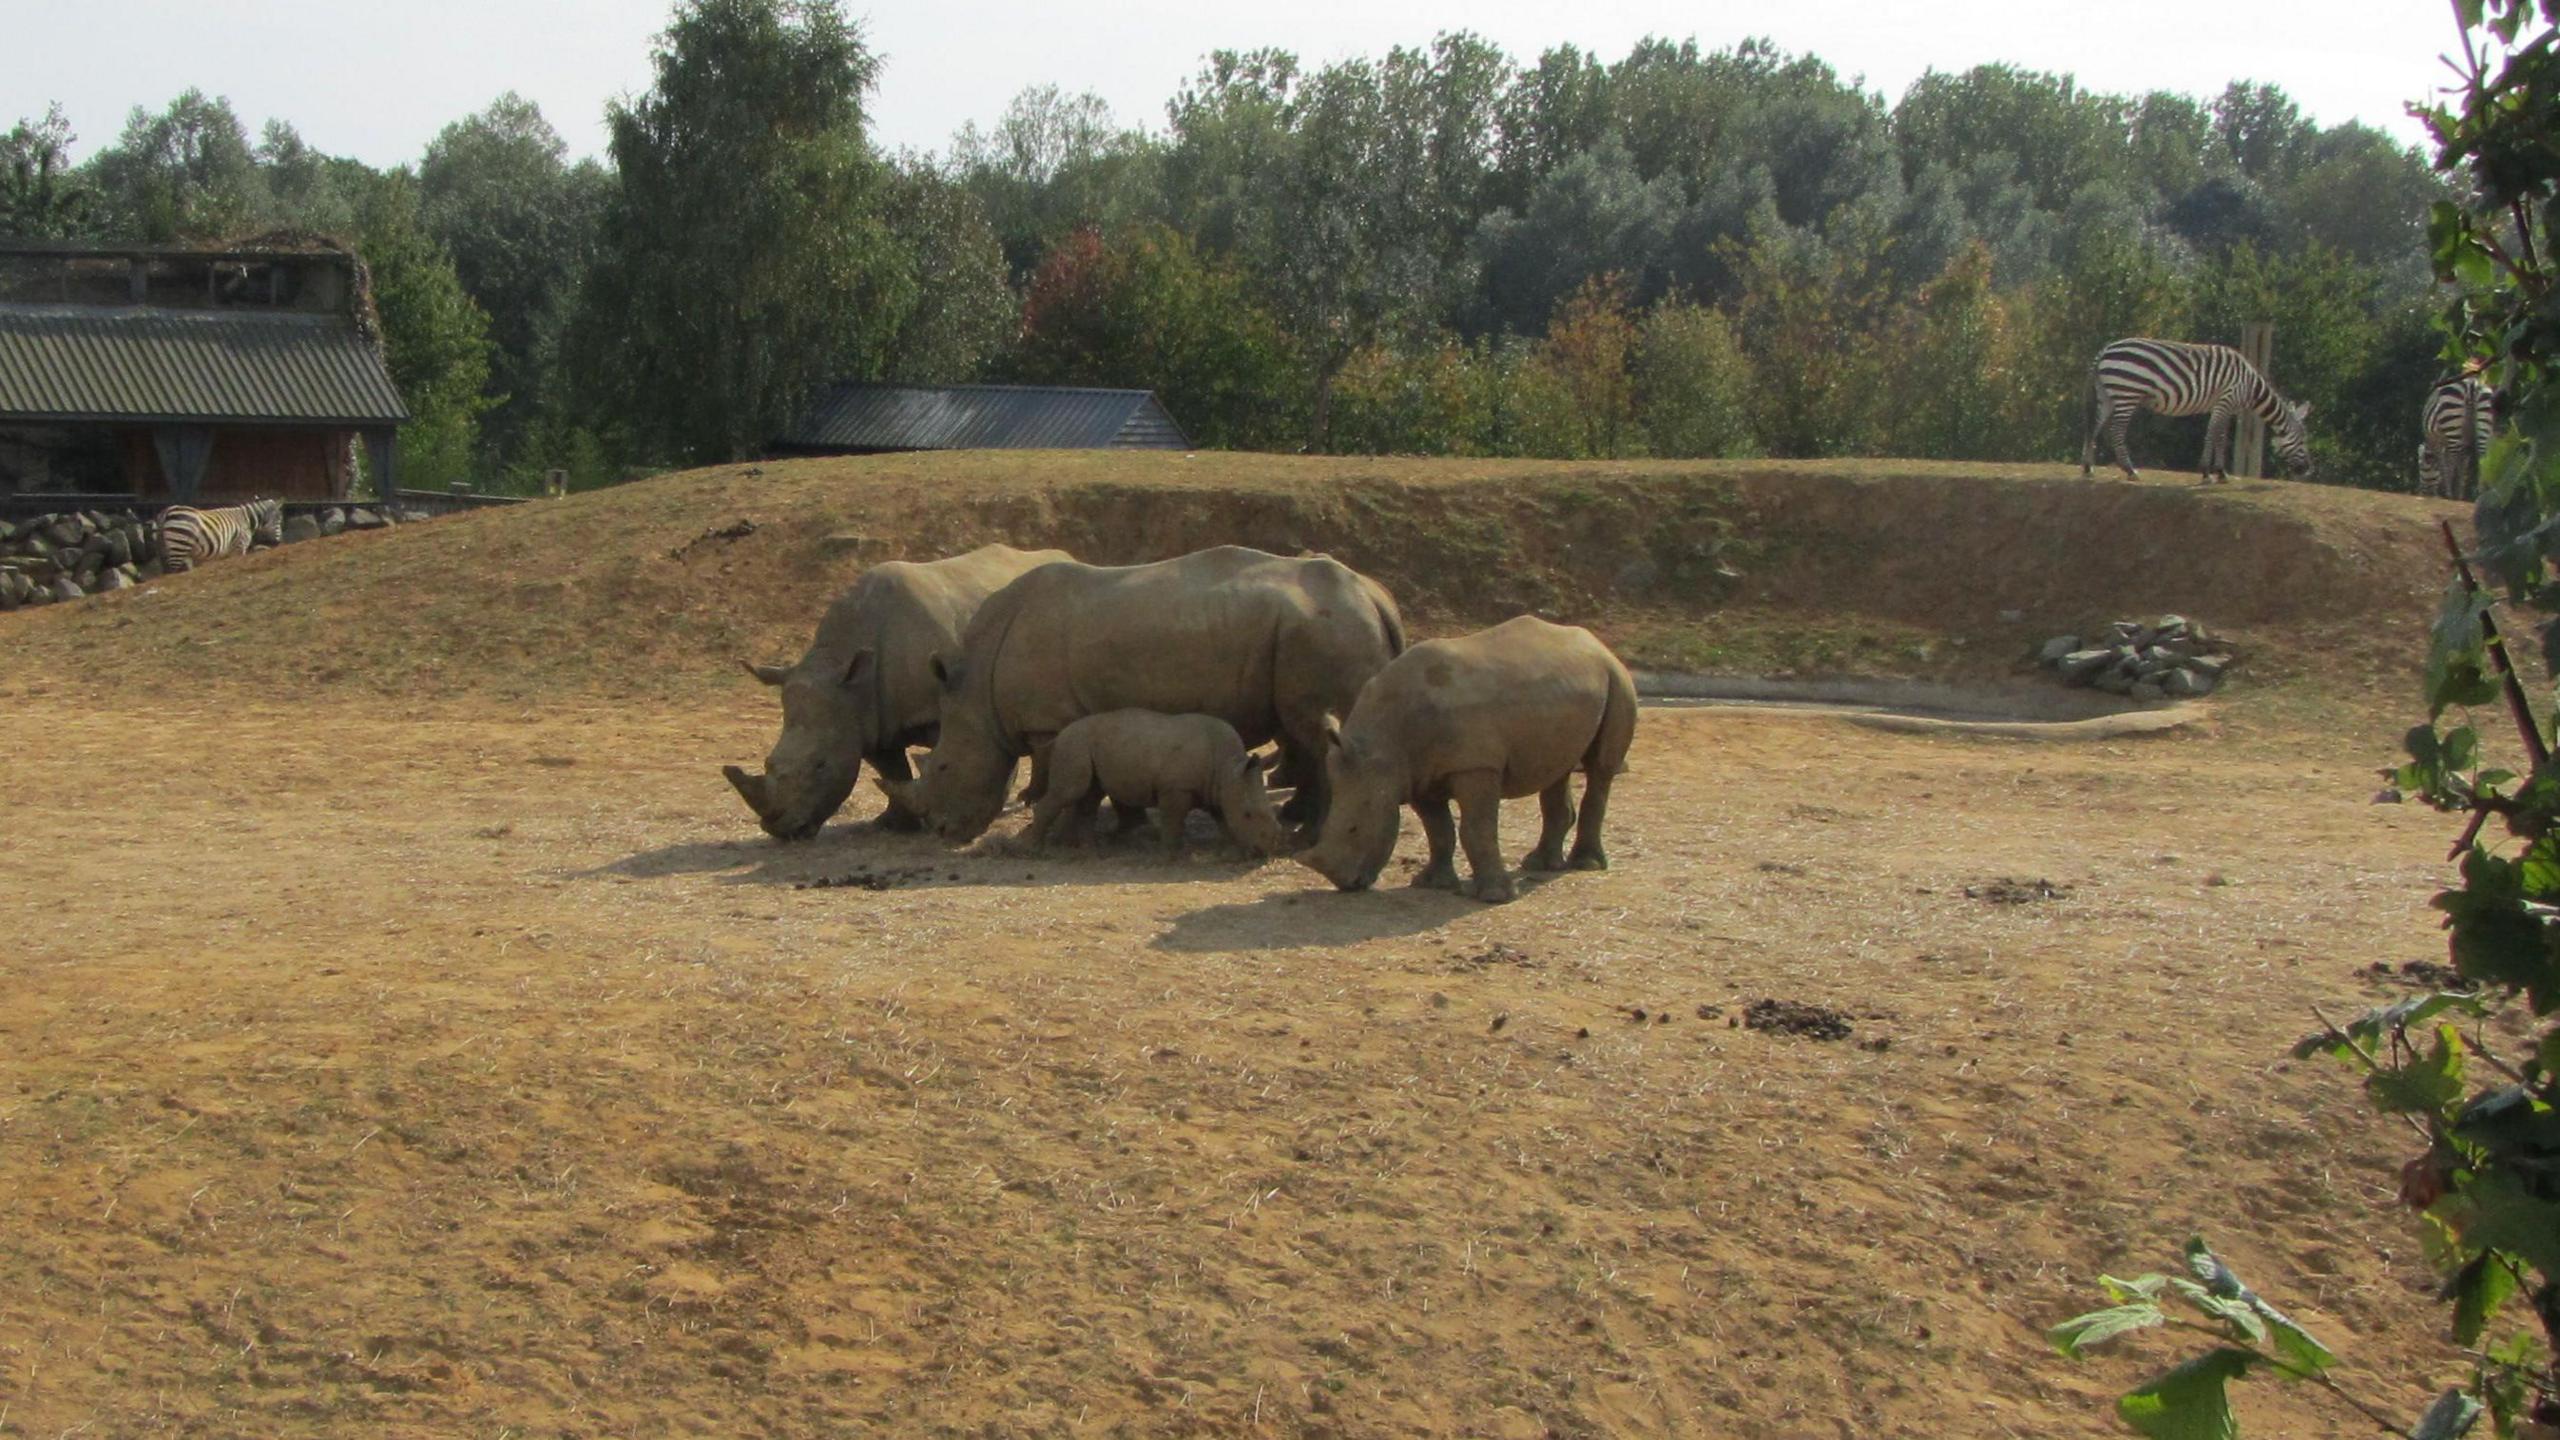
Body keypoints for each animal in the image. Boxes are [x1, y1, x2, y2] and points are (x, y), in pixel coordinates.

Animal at [2078, 335, 2324, 481]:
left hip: (2108, 395)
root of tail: (2105, 350)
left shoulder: (2224, 405)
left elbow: (2219, 436)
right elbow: (2214, 434)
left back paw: (2088, 468)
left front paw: (2220, 472)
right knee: (2116, 431)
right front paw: (2209, 471)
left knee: (2093, 427)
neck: (2250, 386)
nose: (2309, 470)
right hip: (2127, 392)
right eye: (2303, 440)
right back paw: (2130, 470)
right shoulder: (2226, 399)